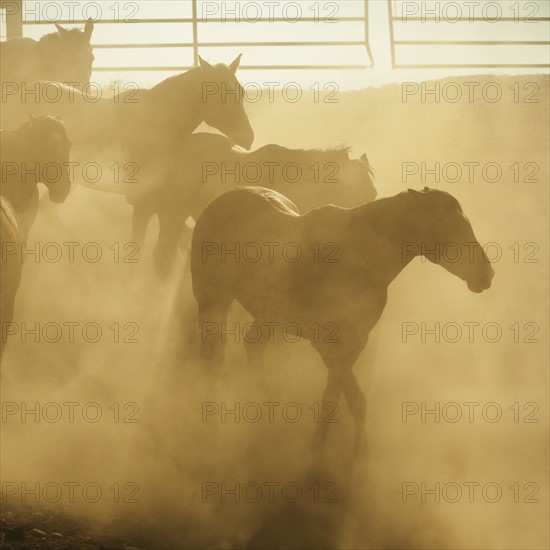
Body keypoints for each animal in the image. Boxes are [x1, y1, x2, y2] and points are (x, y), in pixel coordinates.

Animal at [192, 188, 498, 454]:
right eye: (452, 225)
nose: (487, 274)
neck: (359, 257)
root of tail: (219, 199)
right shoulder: (326, 344)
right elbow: (348, 396)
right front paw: (338, 451)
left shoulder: (355, 342)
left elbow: (340, 396)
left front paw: (346, 450)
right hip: (212, 302)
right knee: (211, 361)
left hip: (269, 315)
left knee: (252, 345)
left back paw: (269, 408)